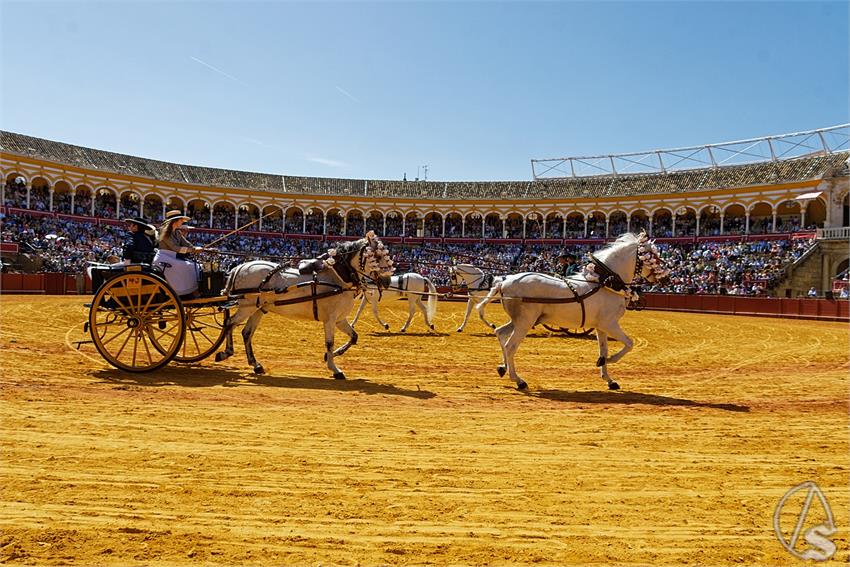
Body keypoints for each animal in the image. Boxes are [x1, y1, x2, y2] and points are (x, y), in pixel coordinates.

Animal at [215, 233, 394, 380]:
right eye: (377, 256)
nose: (387, 282)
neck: (337, 278)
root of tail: (239, 267)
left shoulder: (339, 319)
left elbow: (354, 337)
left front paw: (332, 355)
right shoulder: (330, 320)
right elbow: (330, 342)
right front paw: (335, 369)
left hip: (258, 309)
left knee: (246, 333)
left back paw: (255, 364)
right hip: (247, 307)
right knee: (230, 323)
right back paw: (225, 353)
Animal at [476, 234, 664, 390]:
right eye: (653, 256)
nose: (666, 276)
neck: (605, 282)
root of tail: (503, 282)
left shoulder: (601, 326)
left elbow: (603, 350)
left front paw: (609, 379)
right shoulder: (610, 324)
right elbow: (629, 343)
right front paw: (609, 360)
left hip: (520, 321)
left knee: (500, 333)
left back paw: (503, 368)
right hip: (524, 323)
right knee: (510, 346)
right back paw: (519, 380)